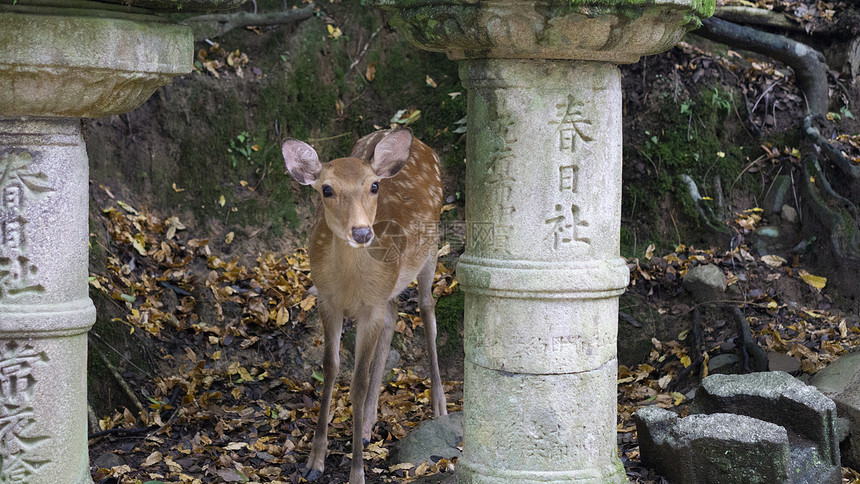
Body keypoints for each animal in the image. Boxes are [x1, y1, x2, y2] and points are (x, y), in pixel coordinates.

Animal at [280, 126, 446, 482]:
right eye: (327, 189)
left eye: (373, 186)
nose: (361, 232)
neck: (350, 286)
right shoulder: (327, 299)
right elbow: (331, 368)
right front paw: (314, 461)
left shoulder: (370, 308)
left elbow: (357, 382)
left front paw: (357, 473)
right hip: (389, 290)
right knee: (394, 315)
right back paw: (368, 425)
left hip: (431, 245)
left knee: (426, 307)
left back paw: (439, 406)